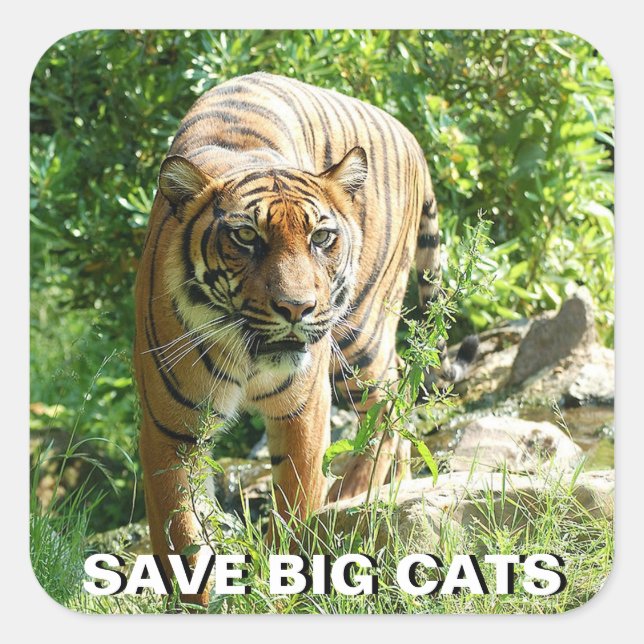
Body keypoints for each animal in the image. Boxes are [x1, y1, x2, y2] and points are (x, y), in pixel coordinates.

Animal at [133, 71, 475, 606]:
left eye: (321, 238)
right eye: (246, 238)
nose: (297, 308)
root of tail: (411, 136)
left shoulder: (302, 410)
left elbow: (295, 502)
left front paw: (282, 591)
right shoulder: (170, 427)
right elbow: (180, 530)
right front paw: (196, 602)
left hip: (359, 332)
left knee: (387, 397)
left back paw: (355, 493)